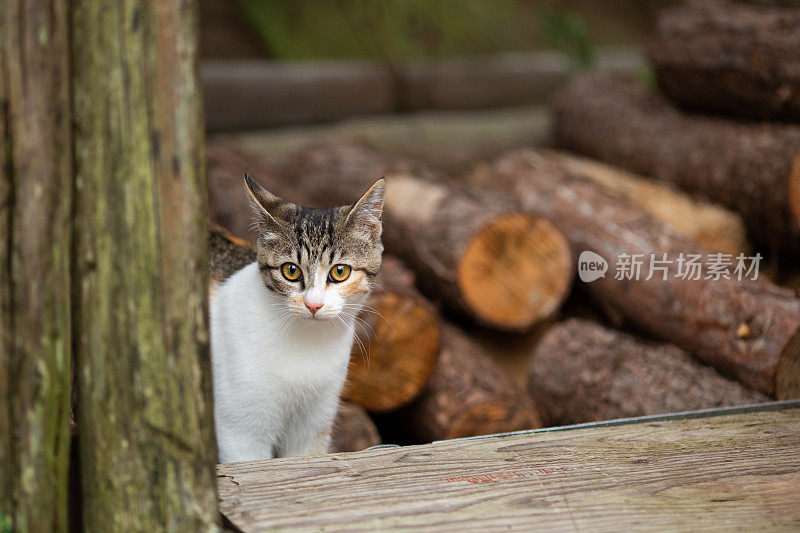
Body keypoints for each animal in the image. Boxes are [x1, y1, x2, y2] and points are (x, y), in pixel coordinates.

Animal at [209, 174, 384, 462]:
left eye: (340, 272)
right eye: (291, 271)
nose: (314, 304)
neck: (307, 344)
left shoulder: (314, 423)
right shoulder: (241, 433)